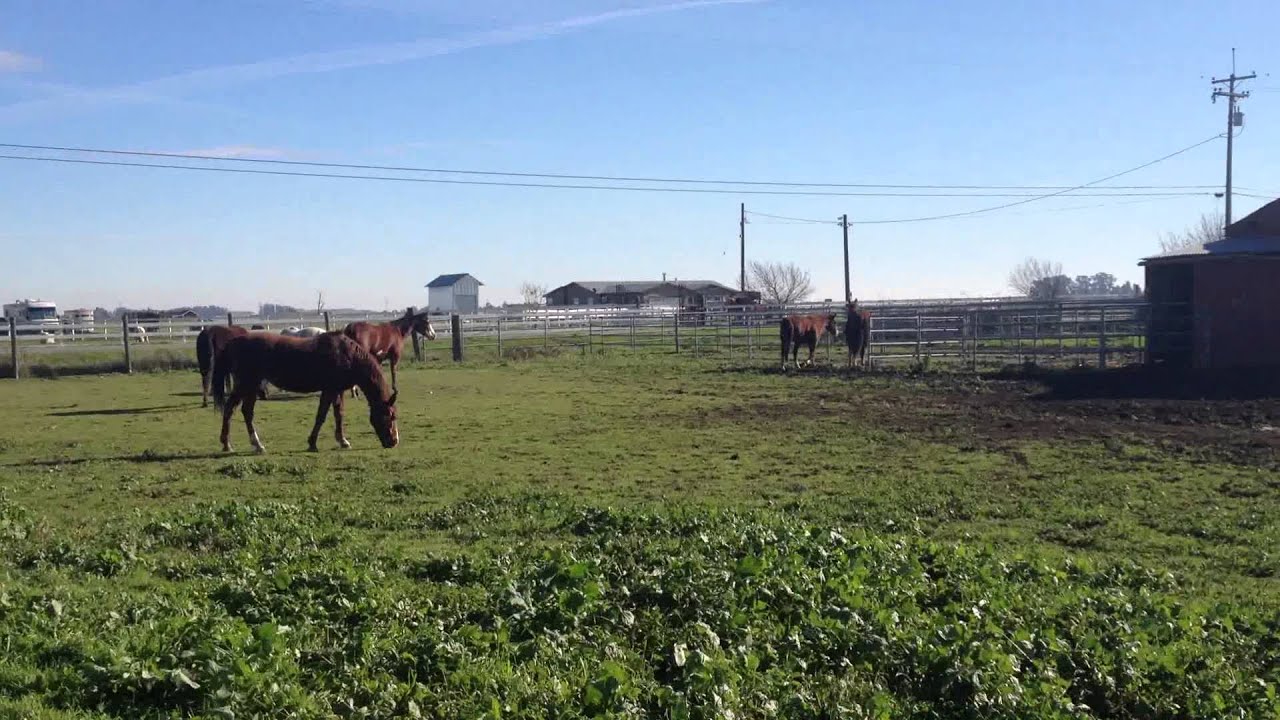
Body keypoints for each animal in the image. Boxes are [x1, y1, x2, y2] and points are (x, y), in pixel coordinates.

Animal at [211, 332, 399, 453]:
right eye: (390, 416)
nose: (394, 441)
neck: (347, 355)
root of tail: (233, 342)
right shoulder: (329, 390)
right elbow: (321, 416)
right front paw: (312, 443)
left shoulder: (337, 391)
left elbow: (338, 414)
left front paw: (342, 441)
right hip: (247, 384)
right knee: (234, 410)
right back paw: (243, 444)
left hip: (251, 386)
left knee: (242, 411)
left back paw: (242, 444)